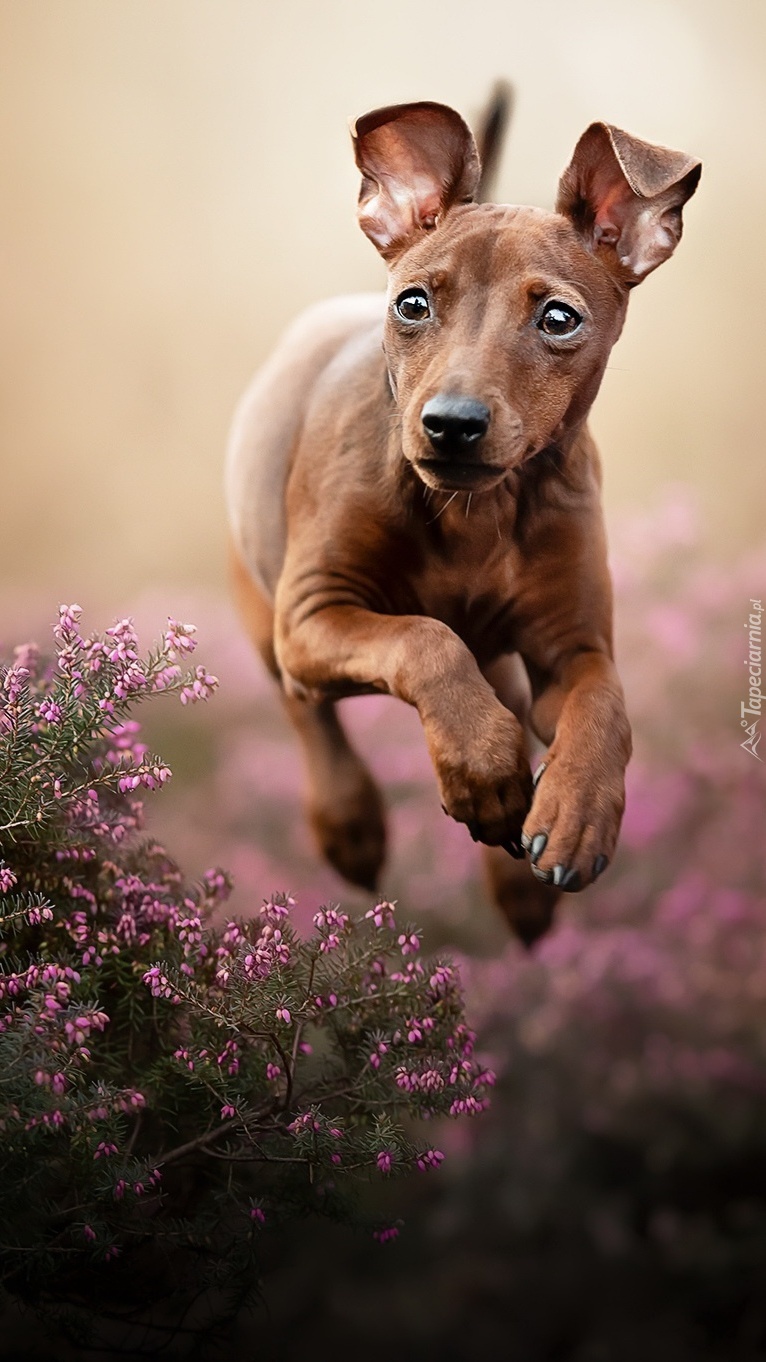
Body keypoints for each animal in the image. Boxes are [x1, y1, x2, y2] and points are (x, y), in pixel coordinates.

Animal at [222, 100, 697, 942]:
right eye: (413, 303)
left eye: (559, 318)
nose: (451, 425)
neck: (479, 512)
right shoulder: (313, 613)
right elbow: (424, 640)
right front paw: (482, 766)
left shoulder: (571, 648)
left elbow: (604, 705)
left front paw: (575, 812)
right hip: (265, 611)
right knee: (306, 710)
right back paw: (355, 820)